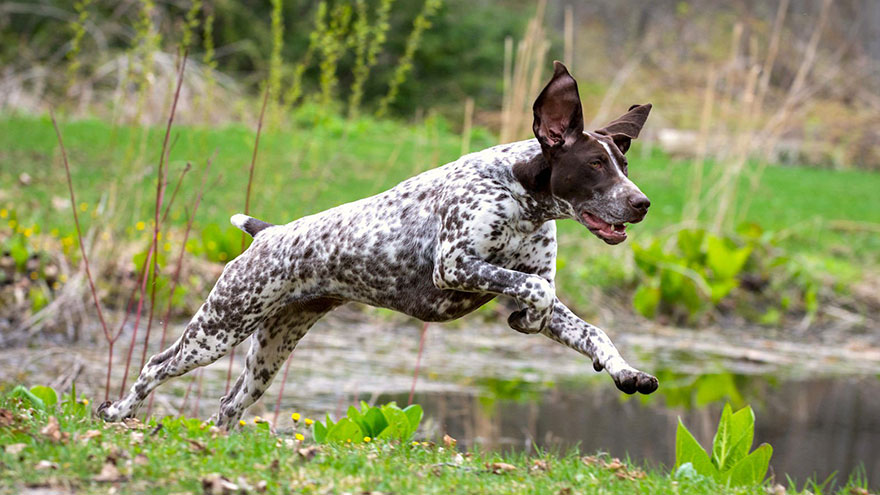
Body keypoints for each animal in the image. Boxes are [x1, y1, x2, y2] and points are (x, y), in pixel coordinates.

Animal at [99, 60, 656, 428]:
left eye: (624, 165)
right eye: (595, 165)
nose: (642, 202)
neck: (521, 195)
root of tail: (268, 233)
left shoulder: (537, 286)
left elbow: (592, 331)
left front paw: (625, 372)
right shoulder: (454, 266)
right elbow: (534, 293)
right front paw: (528, 320)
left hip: (270, 349)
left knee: (228, 405)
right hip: (219, 328)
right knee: (154, 367)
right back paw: (118, 412)